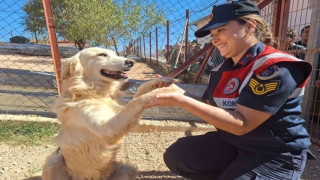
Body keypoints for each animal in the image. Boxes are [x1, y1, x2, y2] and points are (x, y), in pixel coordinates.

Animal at [40, 47, 178, 179]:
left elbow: (140, 91)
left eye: (115, 54)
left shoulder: (120, 113)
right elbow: (136, 101)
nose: (131, 62)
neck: (95, 92)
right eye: (102, 54)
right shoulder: (107, 128)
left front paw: (160, 81)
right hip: (53, 161)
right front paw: (162, 91)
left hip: (127, 169)